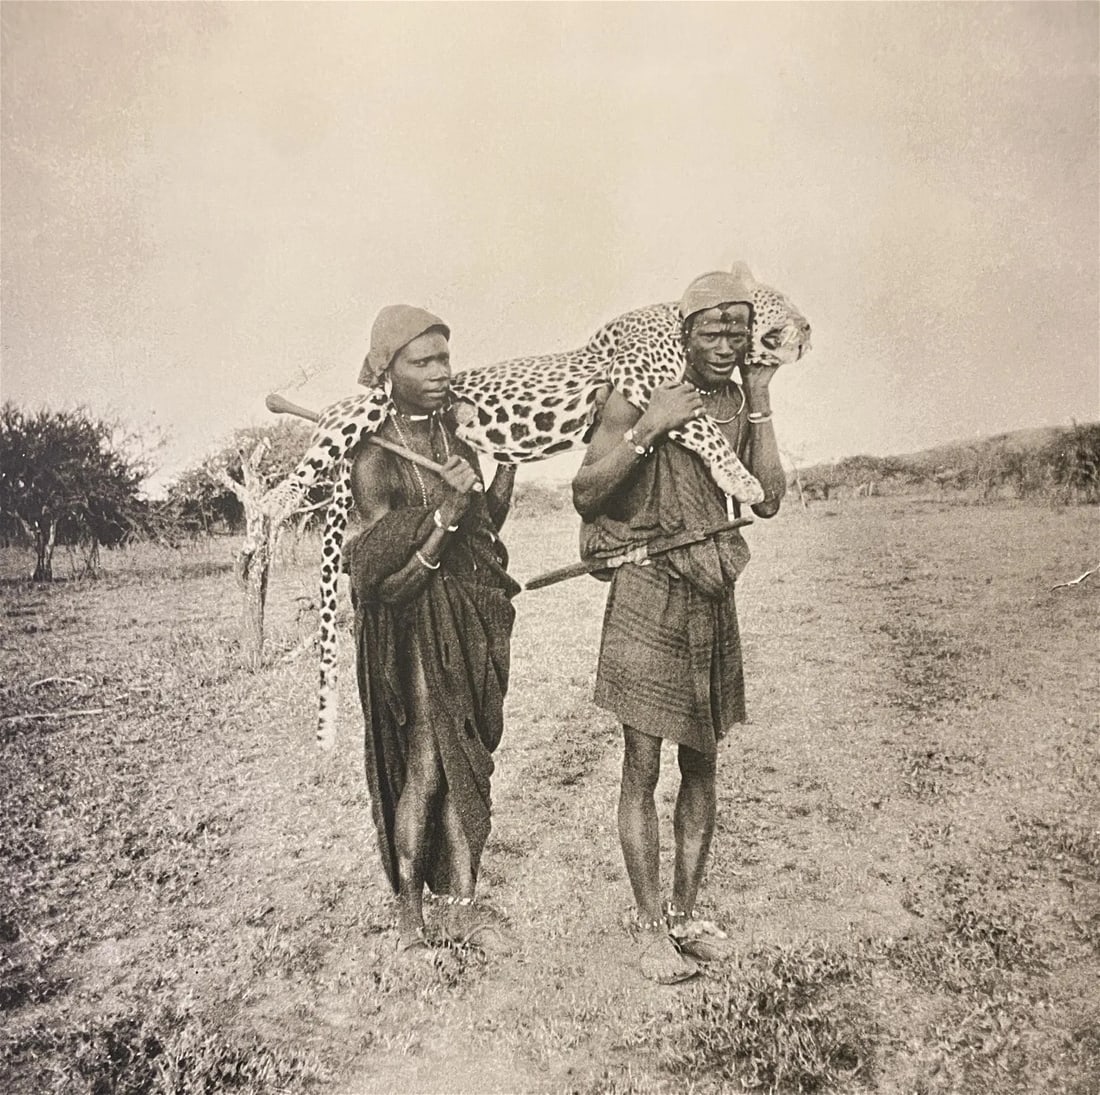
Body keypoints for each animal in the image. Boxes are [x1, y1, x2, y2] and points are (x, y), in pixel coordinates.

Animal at [263, 268, 811, 748]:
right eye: (779, 303)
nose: (808, 329)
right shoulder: (645, 378)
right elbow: (705, 428)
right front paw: (742, 479)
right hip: (357, 413)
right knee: (318, 447)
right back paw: (272, 502)